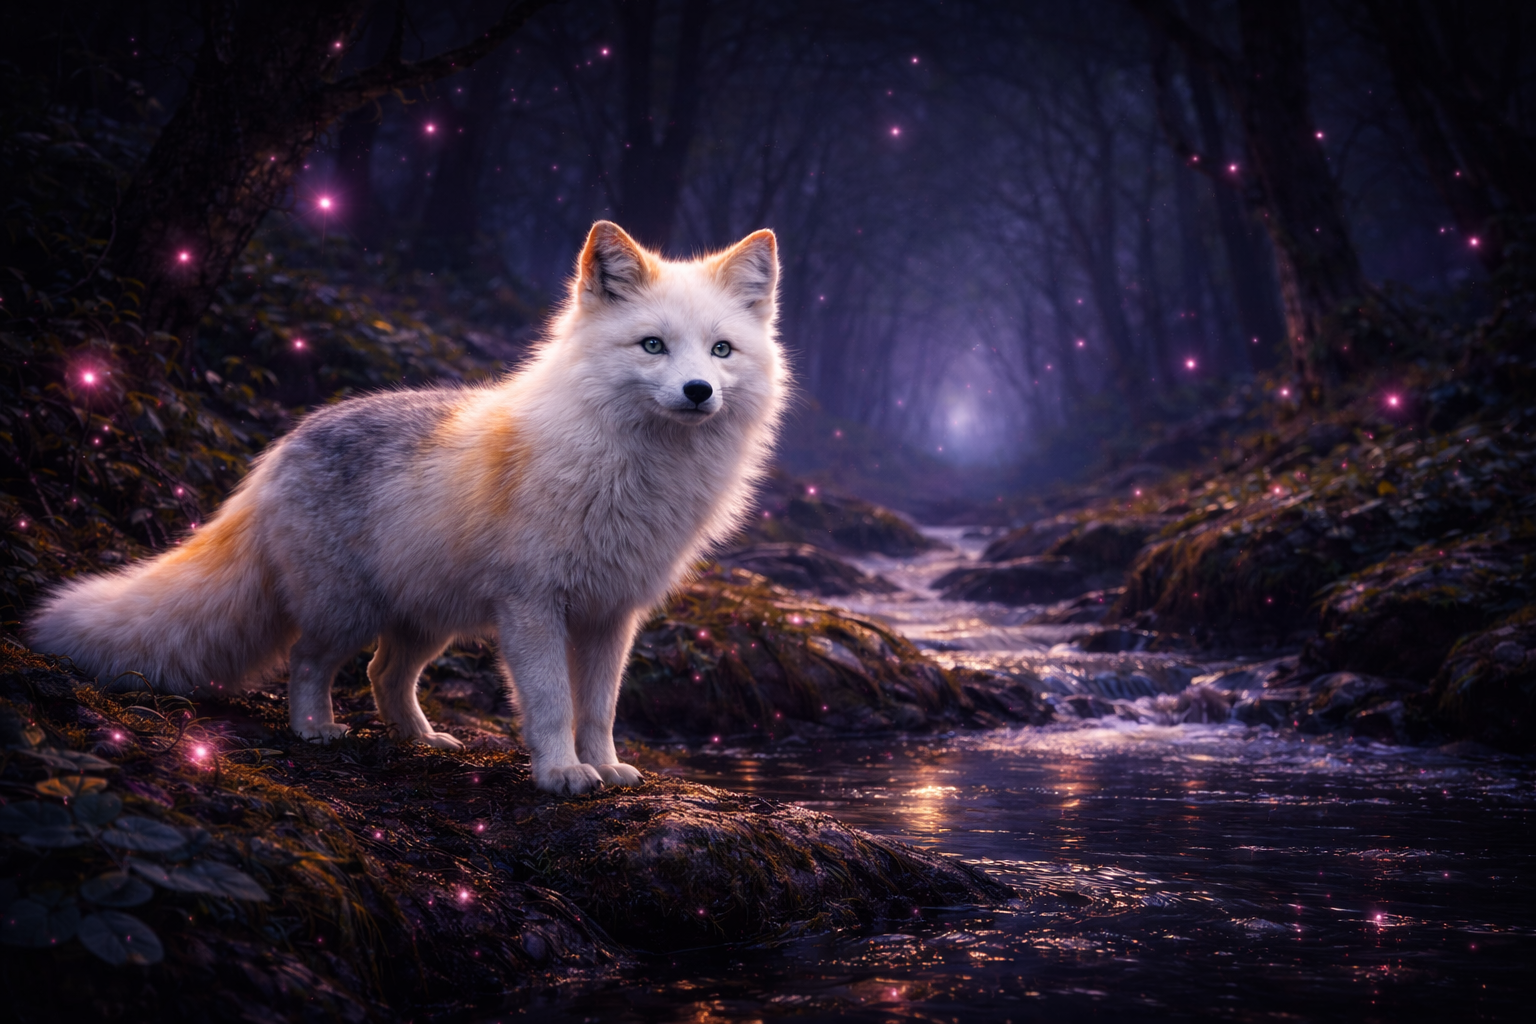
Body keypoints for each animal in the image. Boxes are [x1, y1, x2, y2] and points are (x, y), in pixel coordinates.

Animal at [30, 221, 787, 795]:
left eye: (721, 350)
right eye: (652, 345)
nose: (698, 391)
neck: (633, 470)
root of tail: (278, 451)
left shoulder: (612, 615)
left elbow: (598, 710)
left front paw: (605, 767)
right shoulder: (533, 605)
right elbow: (550, 704)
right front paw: (561, 774)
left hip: (426, 623)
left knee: (382, 675)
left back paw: (422, 740)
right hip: (348, 611)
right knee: (310, 663)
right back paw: (315, 729)